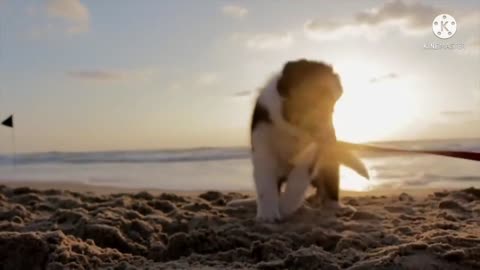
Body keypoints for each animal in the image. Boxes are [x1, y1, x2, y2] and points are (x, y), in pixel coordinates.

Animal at [251, 59, 368, 221]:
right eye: (312, 103)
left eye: (331, 108)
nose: (330, 138)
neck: (291, 129)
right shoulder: (263, 146)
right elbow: (265, 183)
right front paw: (268, 214)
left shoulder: (312, 153)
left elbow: (297, 182)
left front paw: (285, 207)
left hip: (330, 166)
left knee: (330, 188)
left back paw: (337, 207)